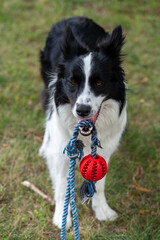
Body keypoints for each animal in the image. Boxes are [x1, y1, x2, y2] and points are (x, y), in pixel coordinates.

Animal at [38, 16, 126, 229]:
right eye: (72, 82)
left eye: (100, 83)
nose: (82, 110)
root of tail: (75, 18)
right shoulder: (62, 150)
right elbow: (62, 185)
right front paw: (62, 218)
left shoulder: (104, 149)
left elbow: (99, 184)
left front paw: (103, 210)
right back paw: (44, 146)